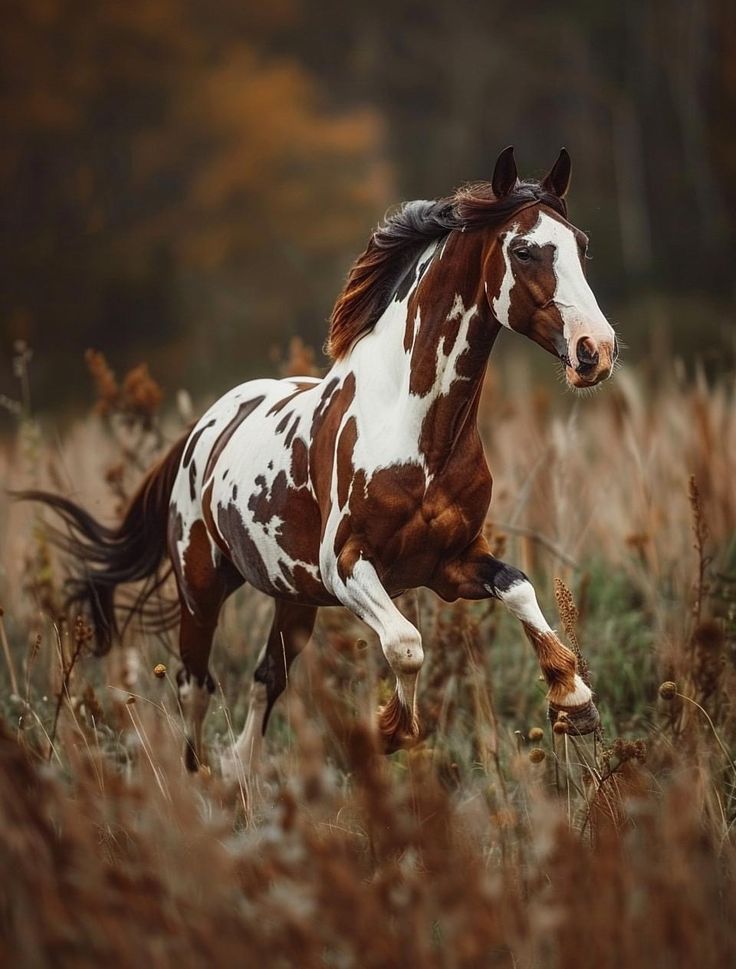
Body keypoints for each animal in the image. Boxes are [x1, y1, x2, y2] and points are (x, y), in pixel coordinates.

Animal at [20, 147, 616, 776]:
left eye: (581, 245)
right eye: (524, 250)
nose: (595, 352)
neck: (416, 430)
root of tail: (200, 431)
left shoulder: (452, 564)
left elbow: (519, 588)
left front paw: (574, 702)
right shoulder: (347, 567)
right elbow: (406, 645)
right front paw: (390, 731)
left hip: (292, 599)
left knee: (266, 679)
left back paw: (240, 772)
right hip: (201, 589)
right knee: (195, 686)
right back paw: (200, 779)